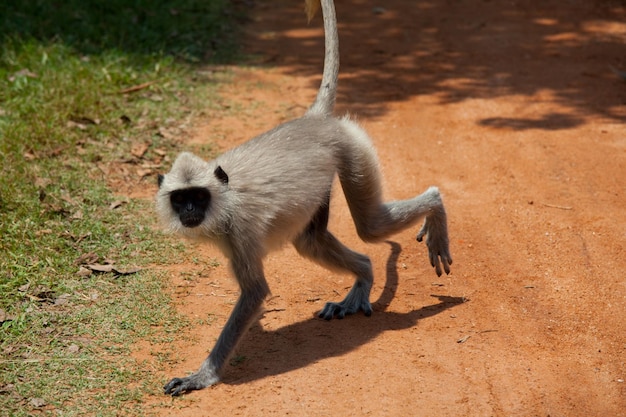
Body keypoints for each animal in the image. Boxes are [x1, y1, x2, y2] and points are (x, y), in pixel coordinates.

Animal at [155, 0, 448, 394]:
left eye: (198, 197)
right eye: (180, 198)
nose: (188, 210)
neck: (223, 202)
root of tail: (314, 120)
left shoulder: (240, 230)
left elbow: (255, 293)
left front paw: (203, 376)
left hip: (352, 146)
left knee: (370, 226)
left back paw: (435, 206)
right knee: (313, 240)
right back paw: (362, 279)